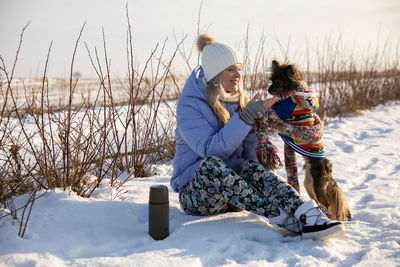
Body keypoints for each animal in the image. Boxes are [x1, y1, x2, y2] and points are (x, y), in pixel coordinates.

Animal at [268, 60, 352, 222]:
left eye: (279, 83)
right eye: (271, 81)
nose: (268, 90)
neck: (294, 93)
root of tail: (329, 171)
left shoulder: (282, 111)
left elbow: (272, 110)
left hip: (317, 187)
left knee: (327, 204)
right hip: (309, 184)